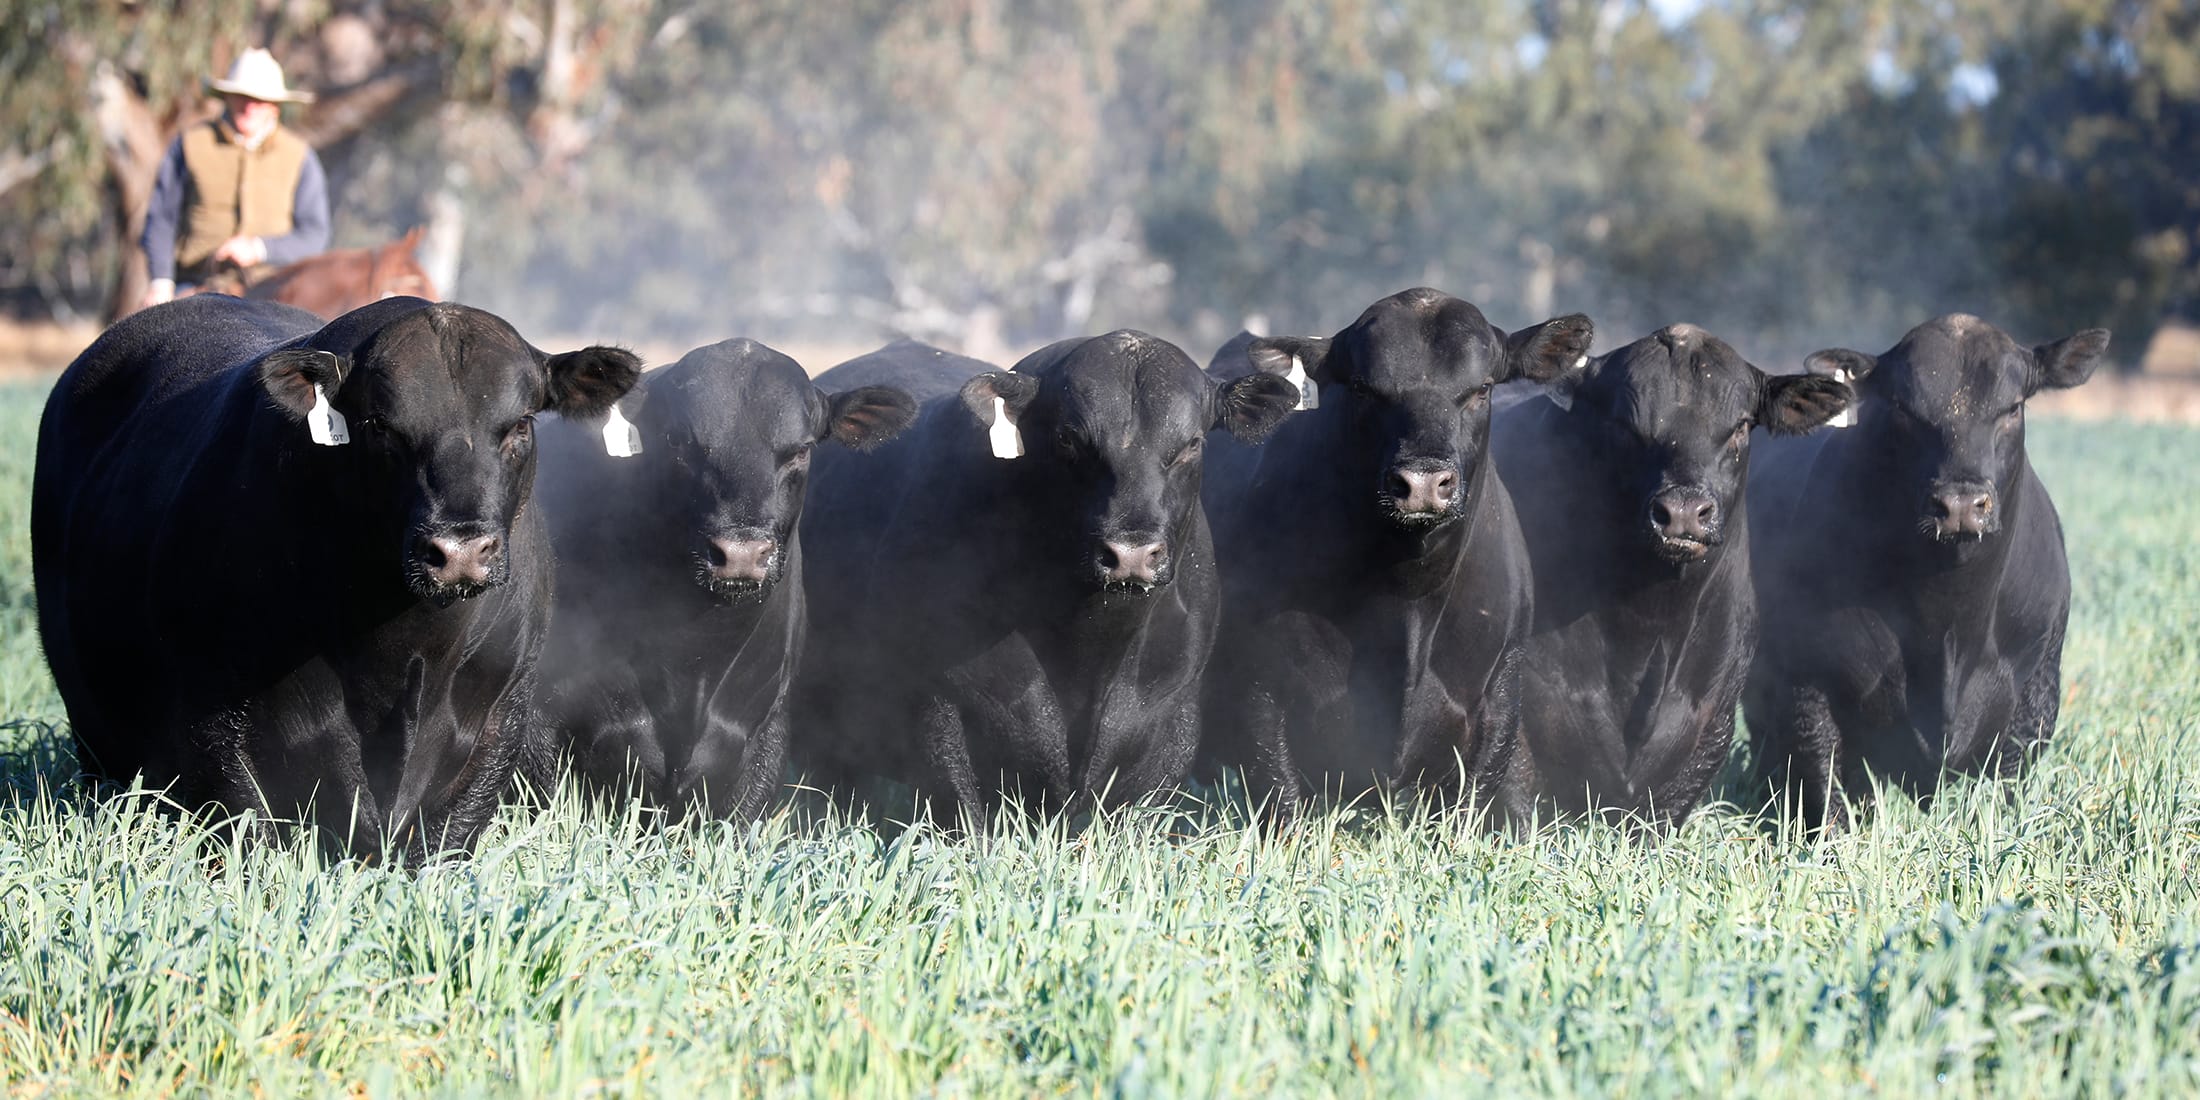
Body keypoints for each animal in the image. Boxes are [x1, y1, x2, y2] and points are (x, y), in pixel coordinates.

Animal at [32, 294, 640, 859]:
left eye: (519, 425)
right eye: (381, 426)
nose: (460, 550)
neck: (404, 655)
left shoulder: (500, 712)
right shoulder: (215, 720)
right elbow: (253, 833)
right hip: (94, 732)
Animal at [794, 336, 1299, 823]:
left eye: (1192, 442)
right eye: (1069, 438)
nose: (1131, 554)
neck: (1091, 652)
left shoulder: (1174, 719)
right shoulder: (938, 708)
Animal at [1199, 288, 1595, 824]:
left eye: (1483, 388)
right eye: (1363, 388)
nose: (1423, 482)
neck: (1407, 602)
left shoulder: (1498, 705)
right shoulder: (1262, 697)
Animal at [1743, 313, 2109, 831]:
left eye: (2013, 406)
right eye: (1902, 406)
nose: (1960, 504)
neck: (1948, 619)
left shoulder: (2036, 692)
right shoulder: (1806, 681)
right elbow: (1824, 783)